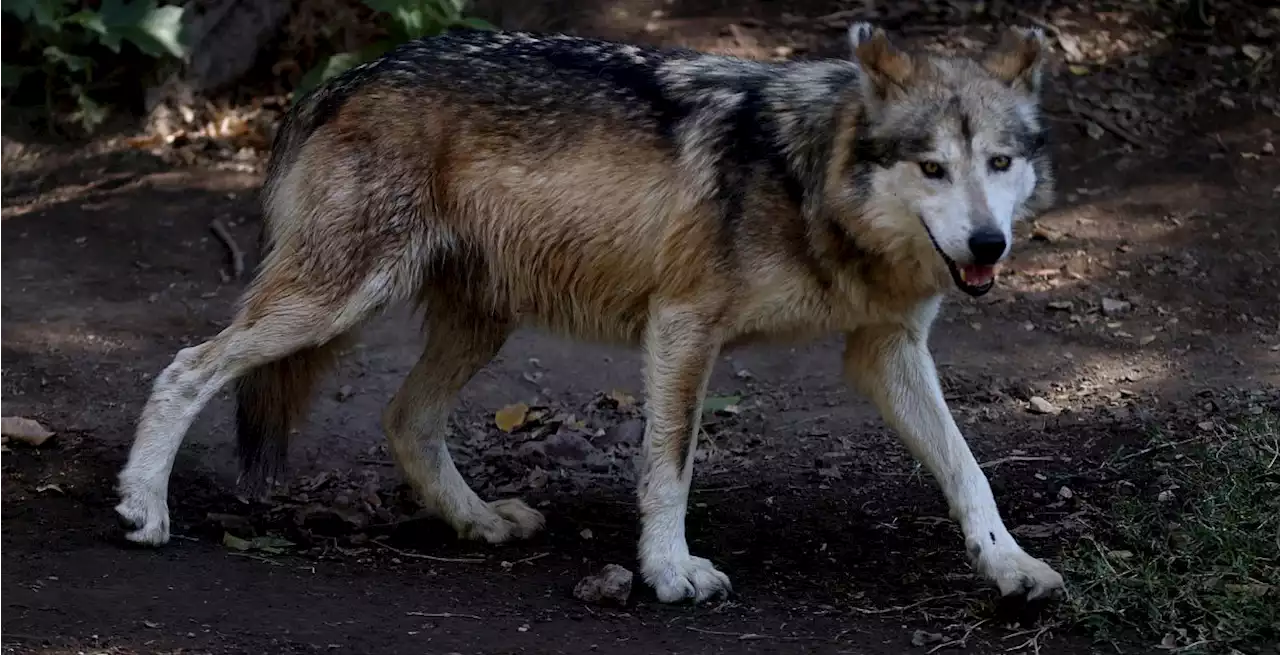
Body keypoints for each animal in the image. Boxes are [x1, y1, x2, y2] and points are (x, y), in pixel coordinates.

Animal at [117, 20, 1059, 603]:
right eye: (932, 167)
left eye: (1000, 162)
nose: (986, 244)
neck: (806, 178)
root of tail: (343, 79)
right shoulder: (682, 326)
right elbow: (669, 467)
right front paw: (672, 572)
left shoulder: (885, 350)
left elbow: (969, 470)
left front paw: (1010, 566)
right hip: (335, 299)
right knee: (186, 366)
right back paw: (144, 508)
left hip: (475, 323)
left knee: (404, 416)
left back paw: (479, 521)